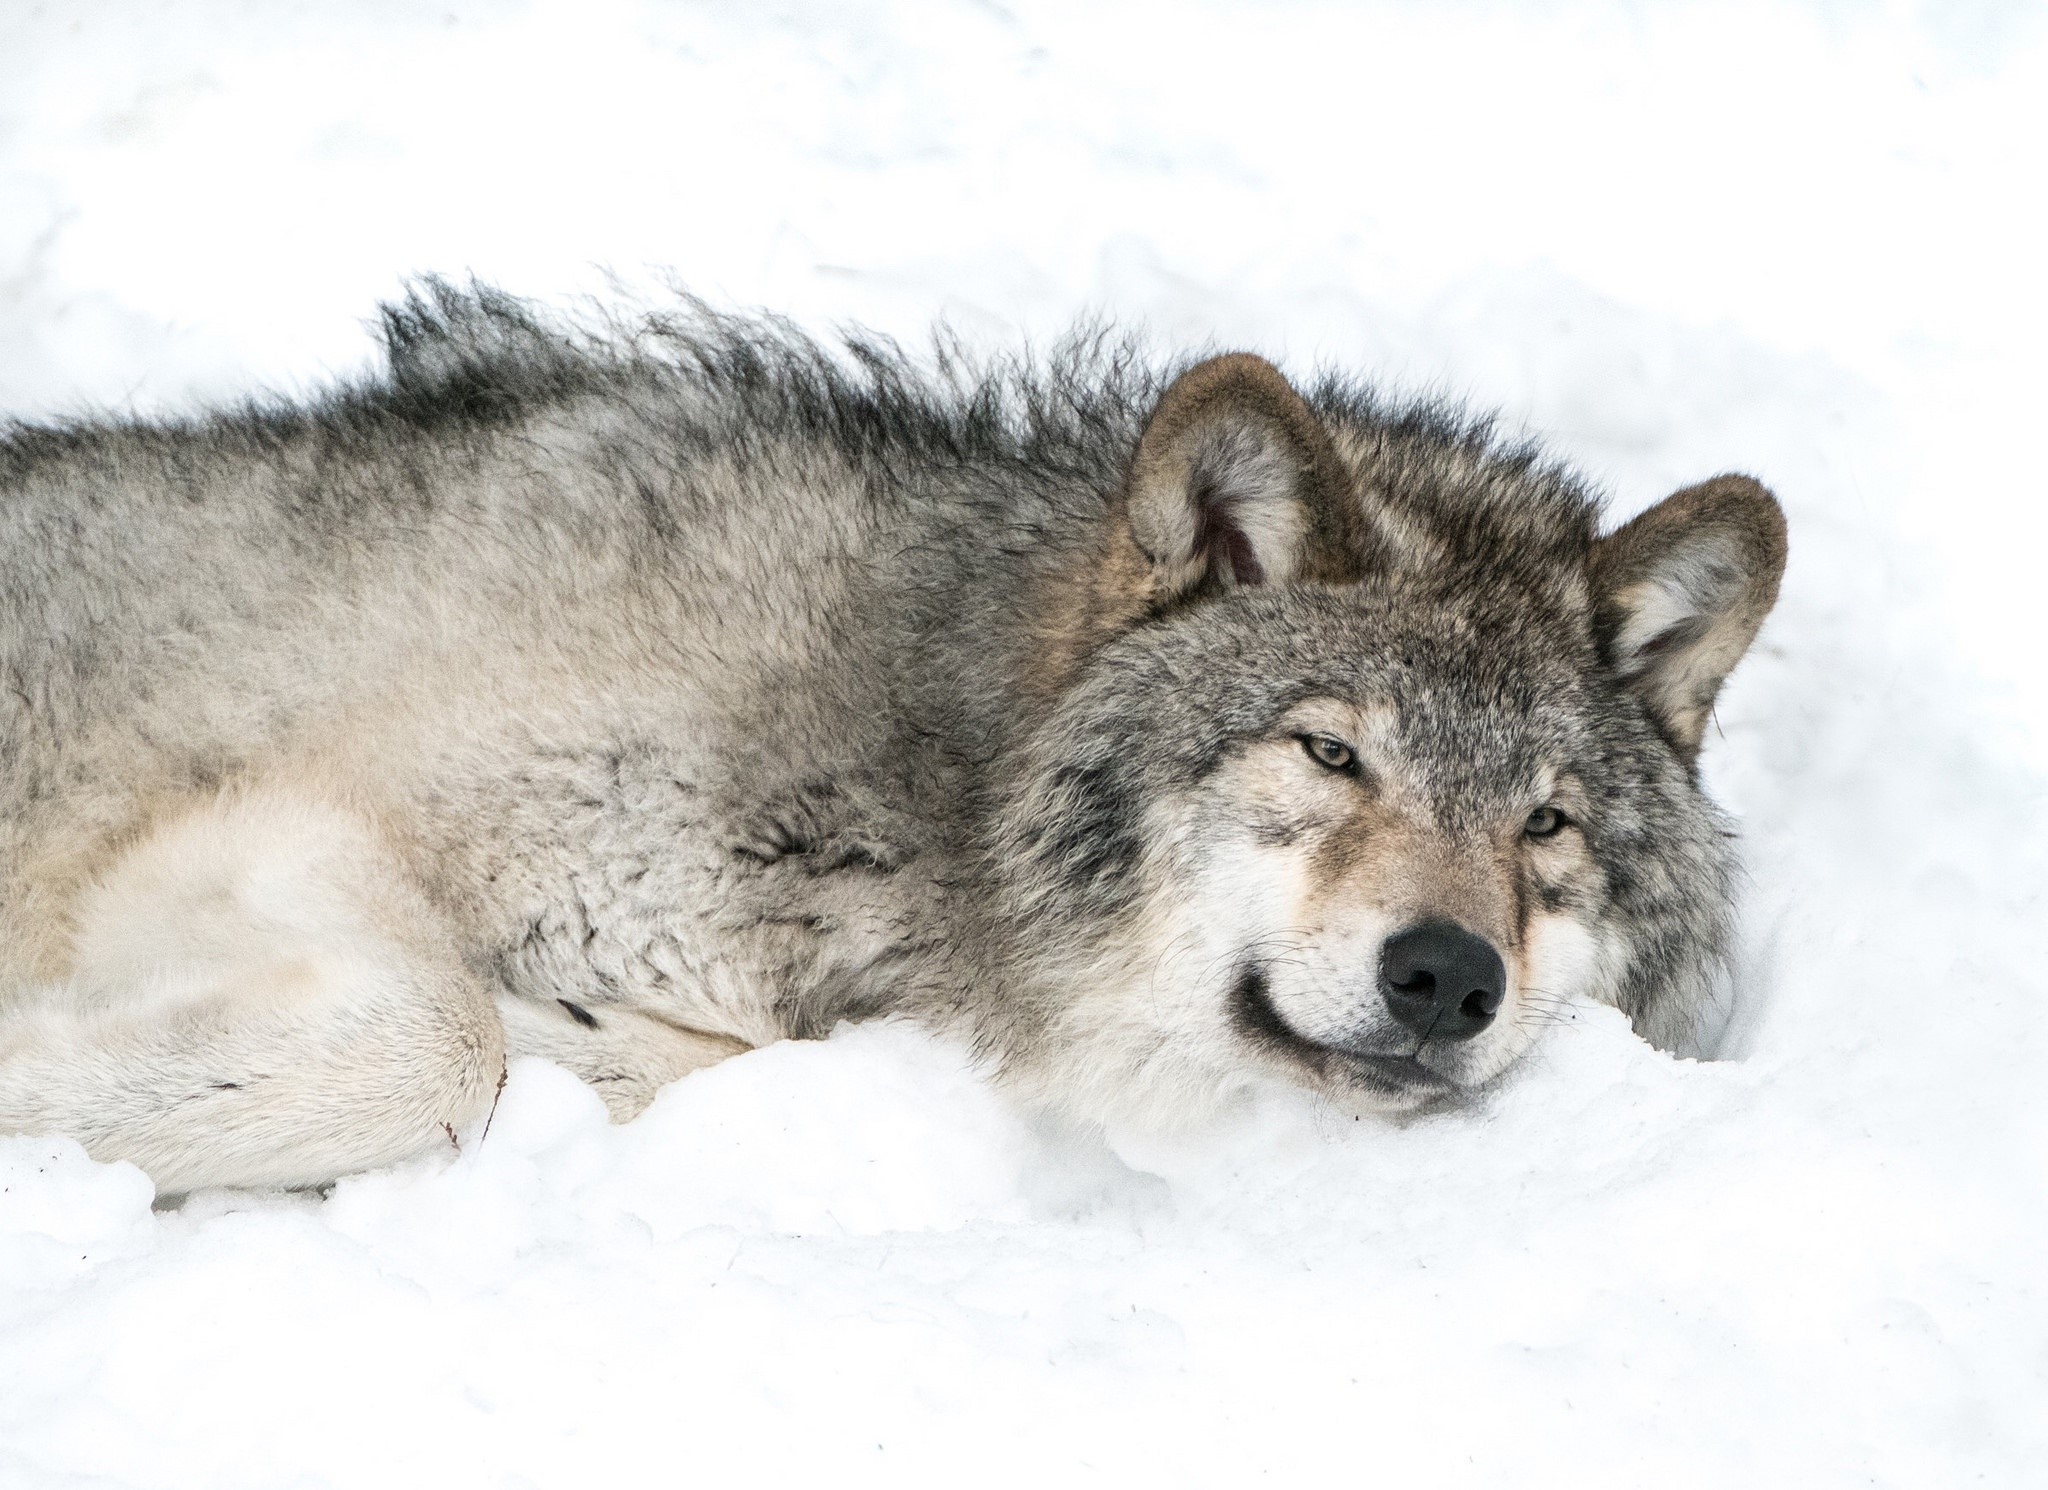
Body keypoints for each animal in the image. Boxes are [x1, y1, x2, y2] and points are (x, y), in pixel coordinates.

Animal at [0, 283, 1785, 1194]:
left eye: (1546, 825)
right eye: (1330, 752)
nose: (1447, 976)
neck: (923, 793)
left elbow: (520, 1049)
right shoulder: (260, 823)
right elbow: (436, 1038)